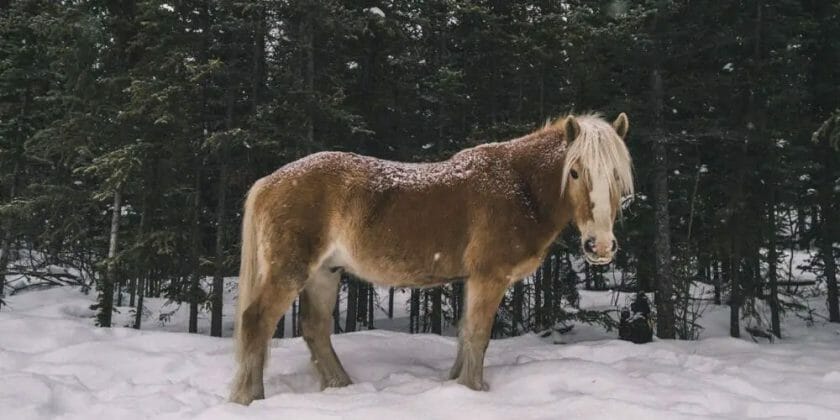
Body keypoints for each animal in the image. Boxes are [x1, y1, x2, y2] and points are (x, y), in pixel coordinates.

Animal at [229, 113, 633, 405]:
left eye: (617, 175)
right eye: (575, 172)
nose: (599, 246)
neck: (519, 187)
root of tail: (269, 181)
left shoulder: (472, 281)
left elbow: (465, 334)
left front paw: (456, 385)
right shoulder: (489, 278)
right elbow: (478, 336)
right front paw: (474, 390)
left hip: (324, 274)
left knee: (315, 329)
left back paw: (342, 387)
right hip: (290, 271)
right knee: (256, 322)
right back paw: (249, 398)